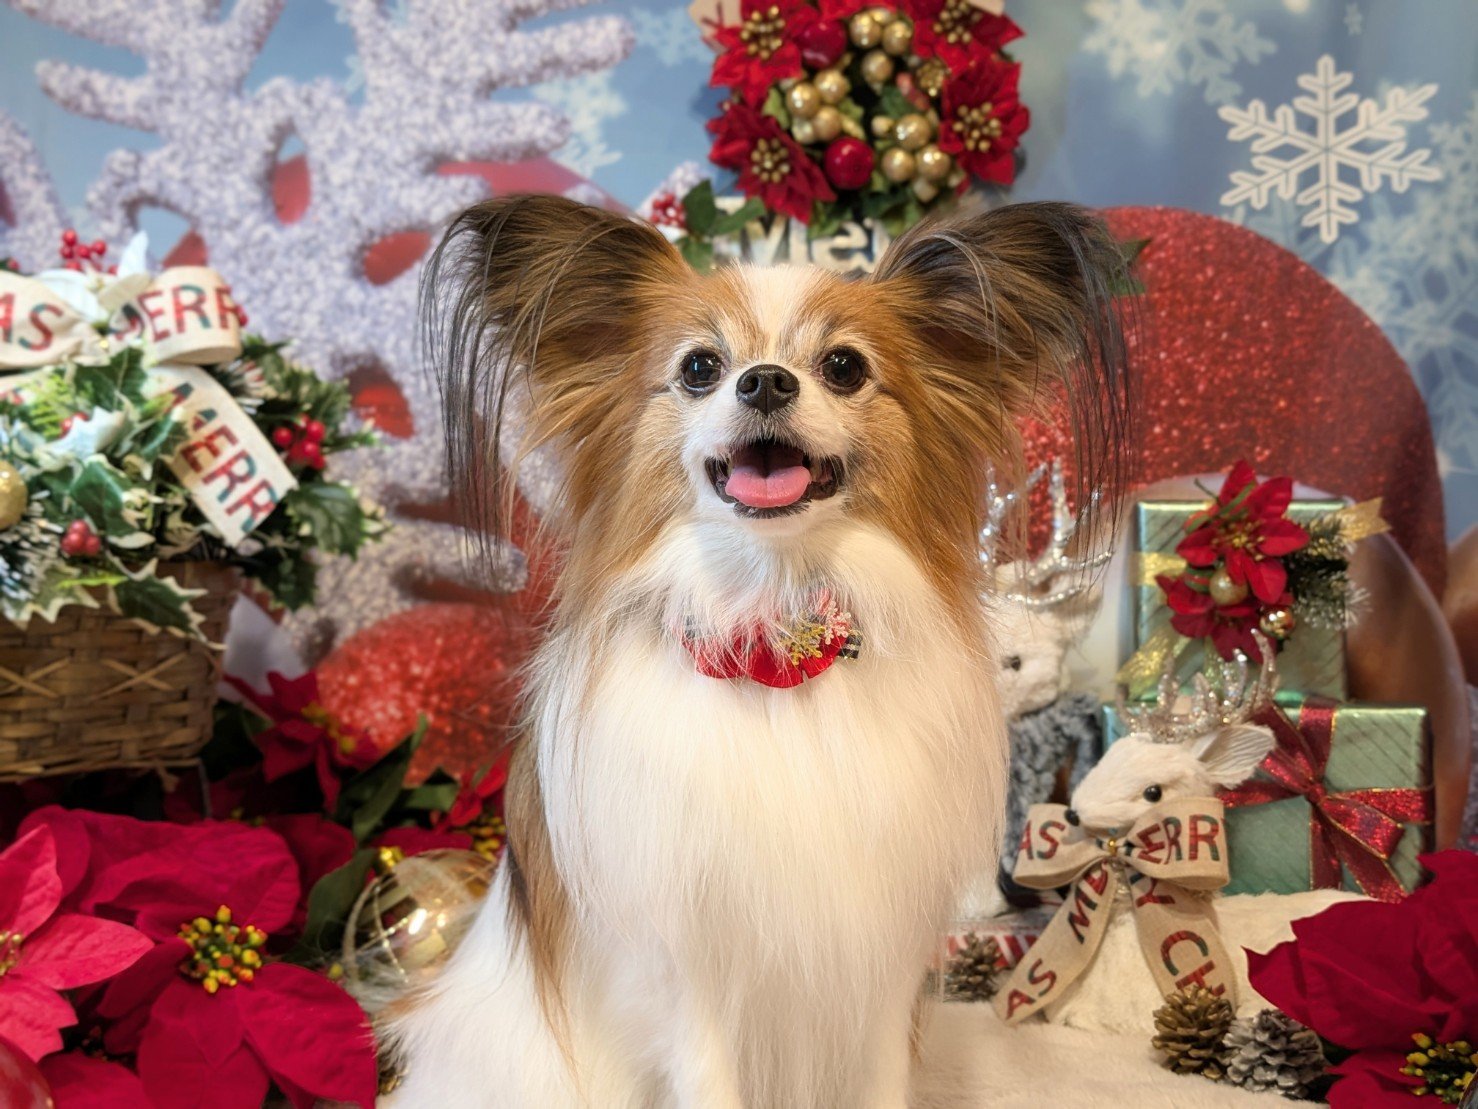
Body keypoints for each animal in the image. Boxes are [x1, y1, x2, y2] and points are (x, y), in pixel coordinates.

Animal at [380, 196, 1132, 1107]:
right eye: (701, 367)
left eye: (843, 366)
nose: (765, 380)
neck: (776, 642)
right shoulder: (691, 969)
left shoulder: (877, 960)